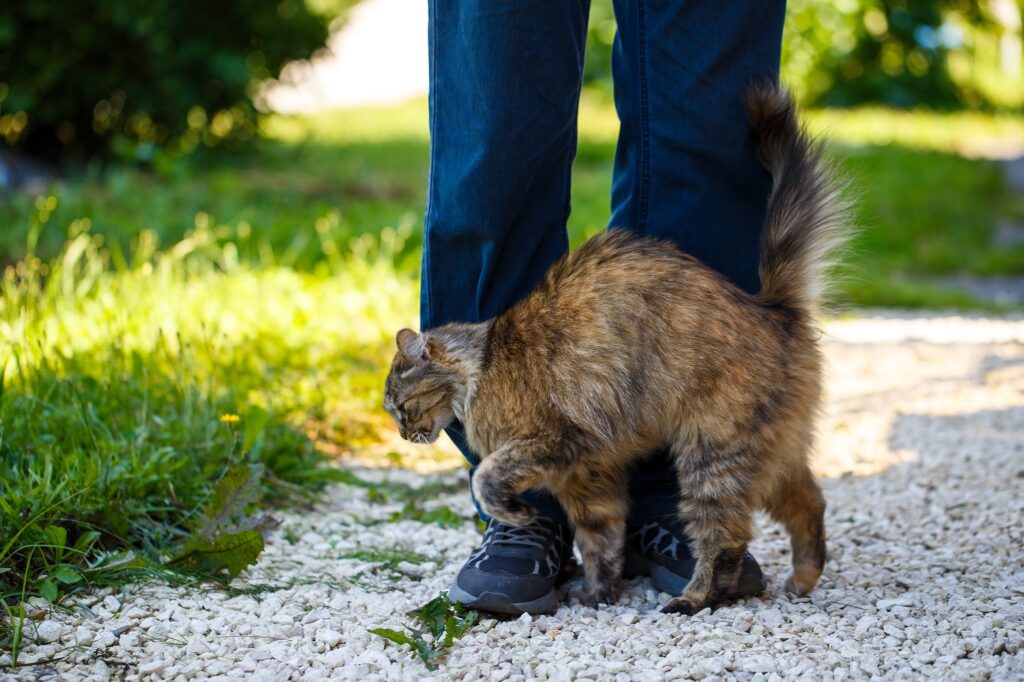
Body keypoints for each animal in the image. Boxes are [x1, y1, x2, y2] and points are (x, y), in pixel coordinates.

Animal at [380, 82, 843, 614]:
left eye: (399, 408)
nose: (403, 435)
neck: (482, 364)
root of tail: (772, 307)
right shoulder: (589, 477)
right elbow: (601, 540)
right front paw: (599, 594)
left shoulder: (558, 440)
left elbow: (489, 476)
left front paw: (519, 515)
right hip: (768, 454)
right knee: (809, 501)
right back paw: (803, 578)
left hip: (713, 454)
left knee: (726, 538)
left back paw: (695, 597)